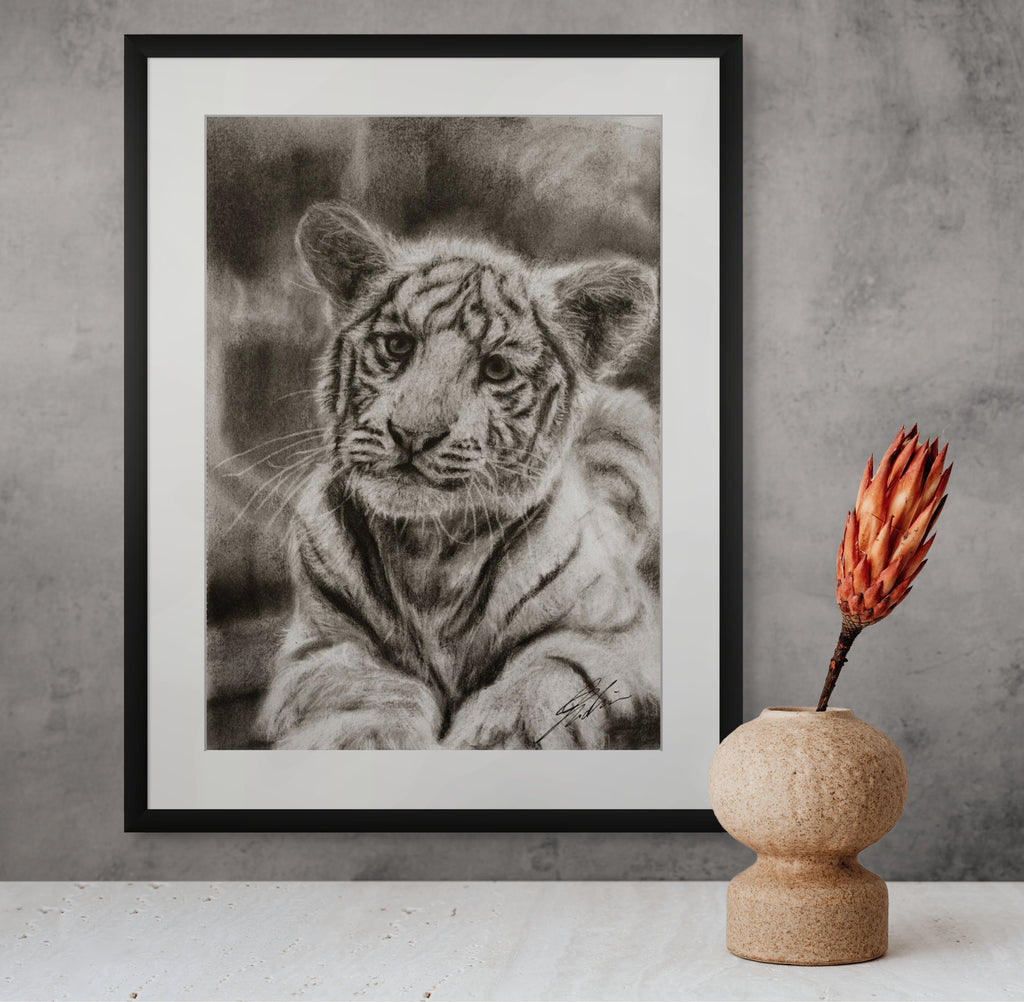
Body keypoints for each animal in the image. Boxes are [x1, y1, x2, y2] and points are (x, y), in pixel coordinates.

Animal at [256, 201, 662, 750]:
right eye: (397, 345)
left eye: (496, 369)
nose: (412, 434)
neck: (431, 554)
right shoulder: (321, 644)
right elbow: (366, 686)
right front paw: (369, 739)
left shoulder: (618, 629)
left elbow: (549, 670)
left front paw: (502, 736)